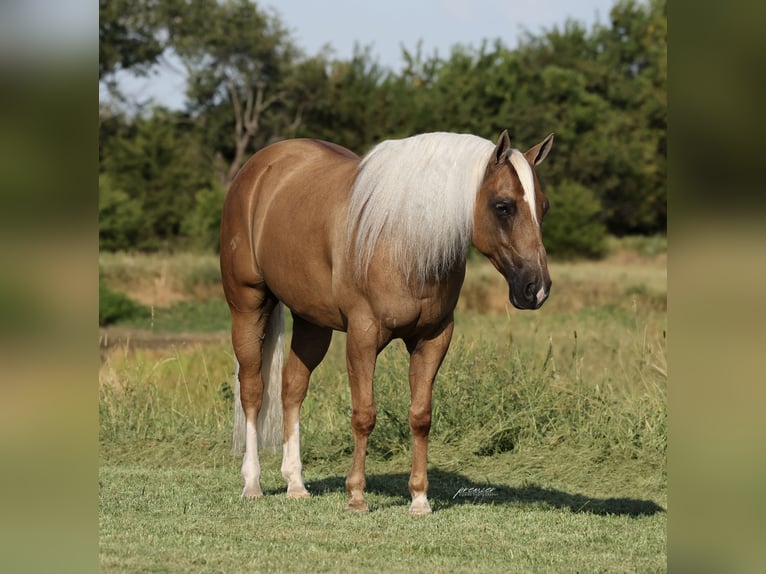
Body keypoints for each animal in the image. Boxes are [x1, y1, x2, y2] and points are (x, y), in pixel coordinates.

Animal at [220, 130, 554, 514]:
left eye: (543, 207)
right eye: (503, 206)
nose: (537, 289)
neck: (405, 240)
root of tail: (258, 169)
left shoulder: (434, 338)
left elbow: (421, 416)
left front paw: (420, 499)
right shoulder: (362, 337)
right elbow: (364, 415)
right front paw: (356, 496)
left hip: (311, 321)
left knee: (292, 387)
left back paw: (296, 483)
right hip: (248, 305)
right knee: (253, 389)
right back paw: (252, 483)